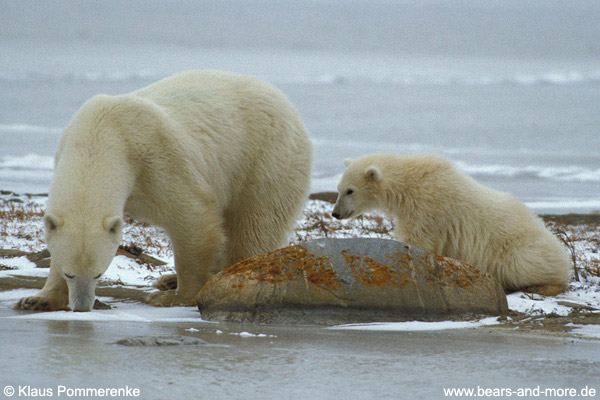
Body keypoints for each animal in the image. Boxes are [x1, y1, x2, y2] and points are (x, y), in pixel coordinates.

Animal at [16, 70, 312, 310]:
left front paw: (175, 297)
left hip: (264, 158)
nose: (81, 307)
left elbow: (192, 217)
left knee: (254, 226)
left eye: (99, 273)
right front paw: (37, 299)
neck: (102, 135)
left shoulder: (155, 157)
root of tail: (289, 105)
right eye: (69, 274)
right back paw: (168, 279)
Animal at [332, 155, 572, 296]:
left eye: (350, 191)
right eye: (338, 189)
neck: (411, 181)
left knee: (523, 263)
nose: (335, 213)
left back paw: (540, 285)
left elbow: (417, 239)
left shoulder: (428, 206)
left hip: (521, 247)